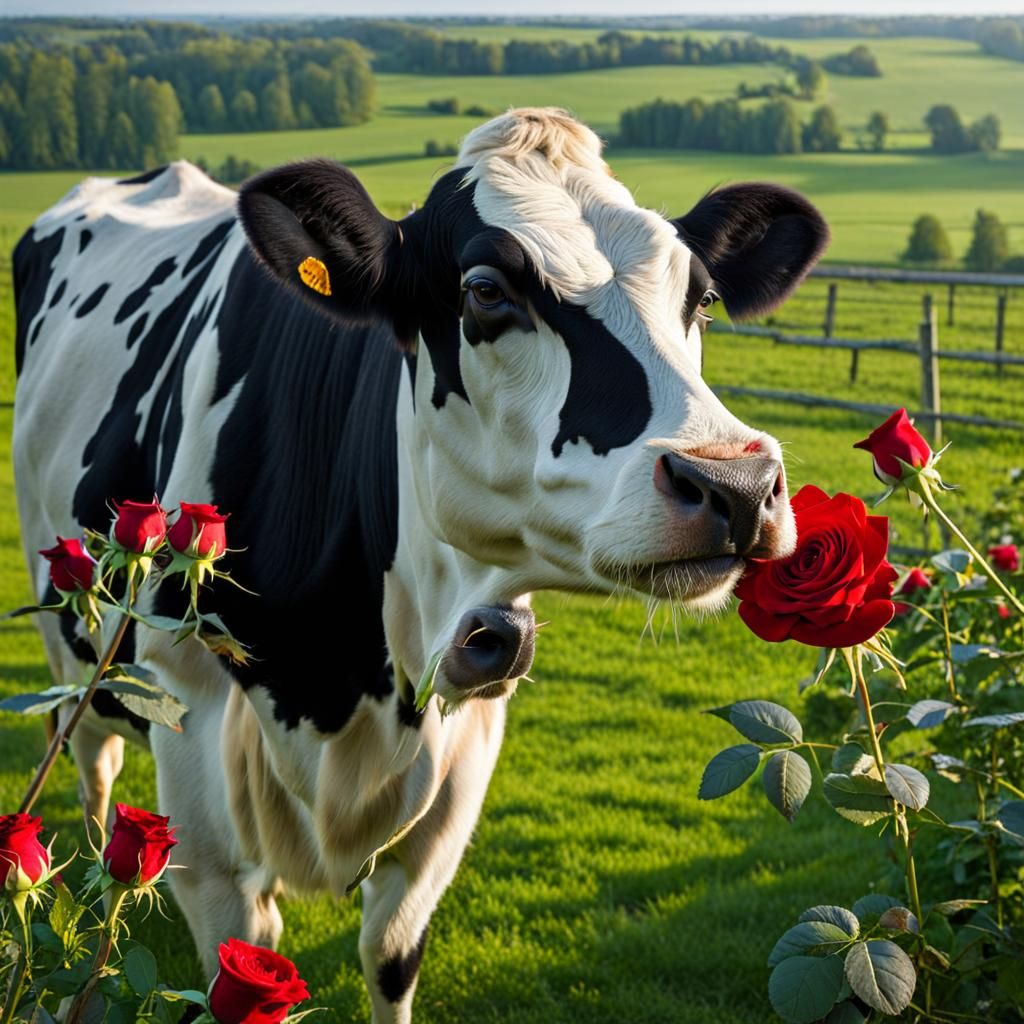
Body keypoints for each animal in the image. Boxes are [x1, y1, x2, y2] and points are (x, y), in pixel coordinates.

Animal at [12, 108, 827, 1022]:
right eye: (485, 291)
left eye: (703, 298)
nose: (737, 483)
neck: (344, 685)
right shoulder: (196, 752)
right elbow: (237, 964)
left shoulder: (464, 742)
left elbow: (390, 953)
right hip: (76, 639)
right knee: (89, 757)